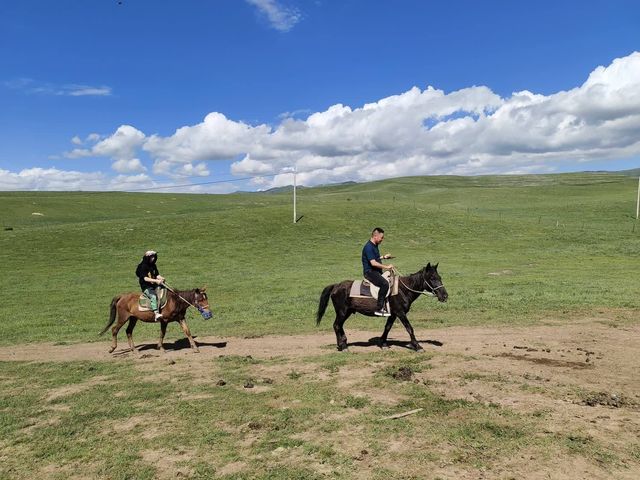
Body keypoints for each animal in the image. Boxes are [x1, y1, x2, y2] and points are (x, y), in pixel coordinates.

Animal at [316, 264, 448, 350]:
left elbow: (387, 327)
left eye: (440, 277)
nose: (445, 296)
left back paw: (344, 342)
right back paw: (342, 346)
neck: (403, 289)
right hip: (342, 312)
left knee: (340, 326)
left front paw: (383, 343)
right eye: (432, 278)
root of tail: (336, 286)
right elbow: (409, 328)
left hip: (347, 312)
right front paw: (417, 345)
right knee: (336, 325)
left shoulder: (393, 314)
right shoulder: (400, 313)